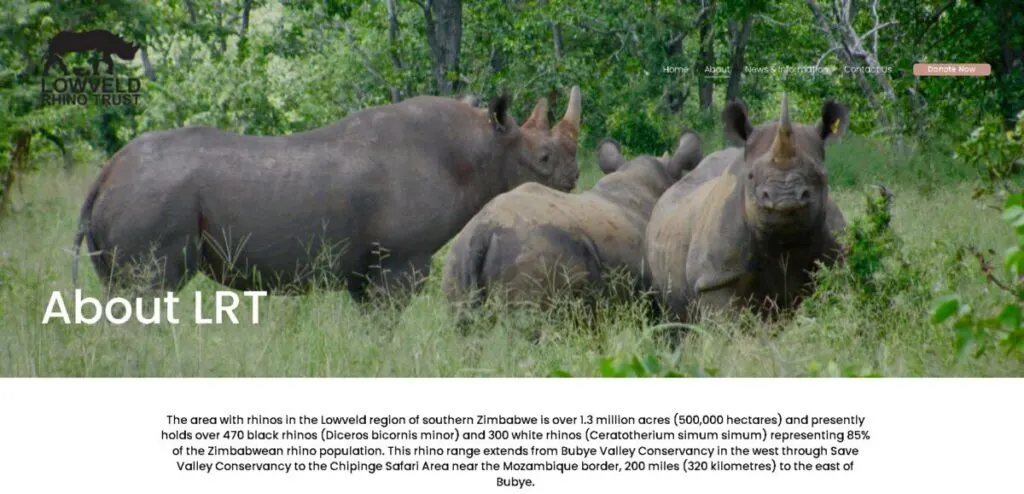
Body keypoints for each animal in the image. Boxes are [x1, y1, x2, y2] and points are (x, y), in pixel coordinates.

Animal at [71, 86, 584, 304]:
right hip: (151, 198)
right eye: (543, 159)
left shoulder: (368, 267)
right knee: (147, 293)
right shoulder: (401, 260)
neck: (483, 147)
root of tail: (106, 174)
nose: (573, 179)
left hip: (135, 195)